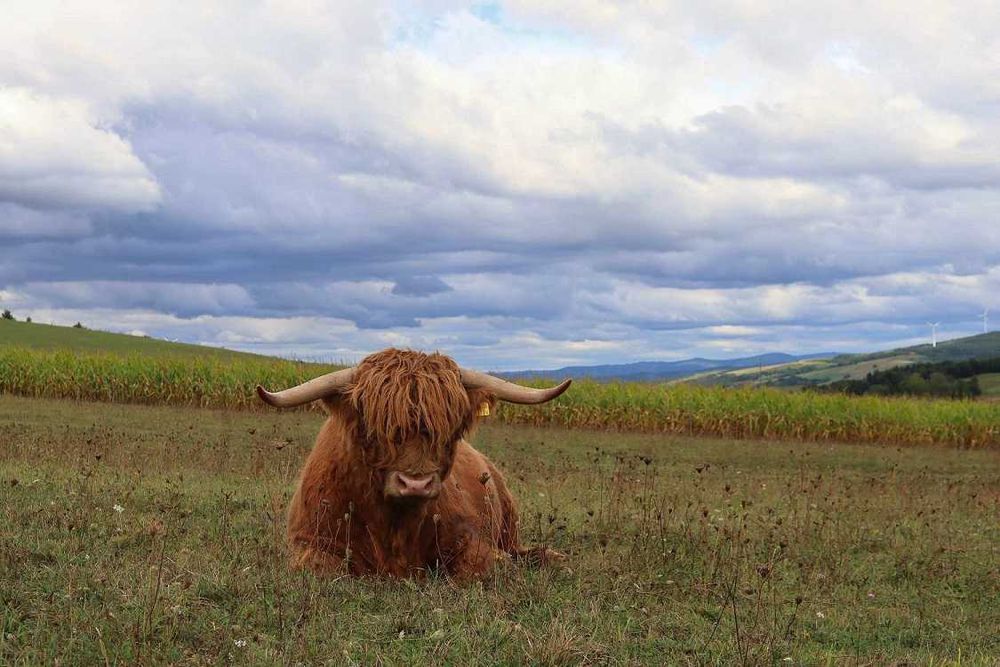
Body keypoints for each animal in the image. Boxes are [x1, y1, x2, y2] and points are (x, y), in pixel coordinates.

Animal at [256, 348, 571, 580]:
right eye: (373, 426)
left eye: (449, 428)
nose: (415, 484)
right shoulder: (309, 541)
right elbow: (322, 567)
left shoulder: (470, 539)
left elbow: (483, 567)